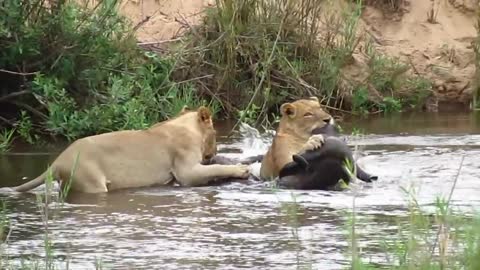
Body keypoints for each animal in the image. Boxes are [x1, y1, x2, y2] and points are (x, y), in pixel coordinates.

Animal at [11, 105, 251, 194]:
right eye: (215, 133)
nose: (215, 151)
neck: (185, 126)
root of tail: (58, 160)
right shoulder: (186, 171)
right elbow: (214, 169)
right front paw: (241, 169)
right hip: (92, 183)